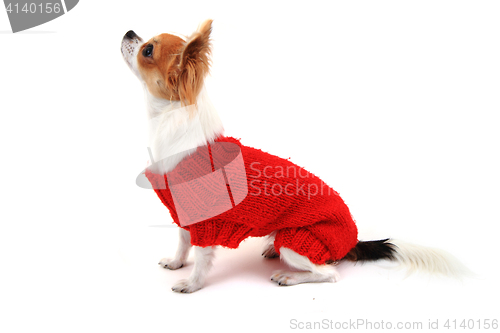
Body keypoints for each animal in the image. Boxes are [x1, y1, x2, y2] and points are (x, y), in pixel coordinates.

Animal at [121, 19, 468, 292]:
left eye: (148, 50)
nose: (128, 32)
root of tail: (352, 241)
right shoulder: (185, 215)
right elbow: (182, 244)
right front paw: (177, 263)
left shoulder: (207, 223)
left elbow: (201, 257)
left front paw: (192, 284)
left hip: (298, 240)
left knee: (328, 273)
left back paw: (289, 277)